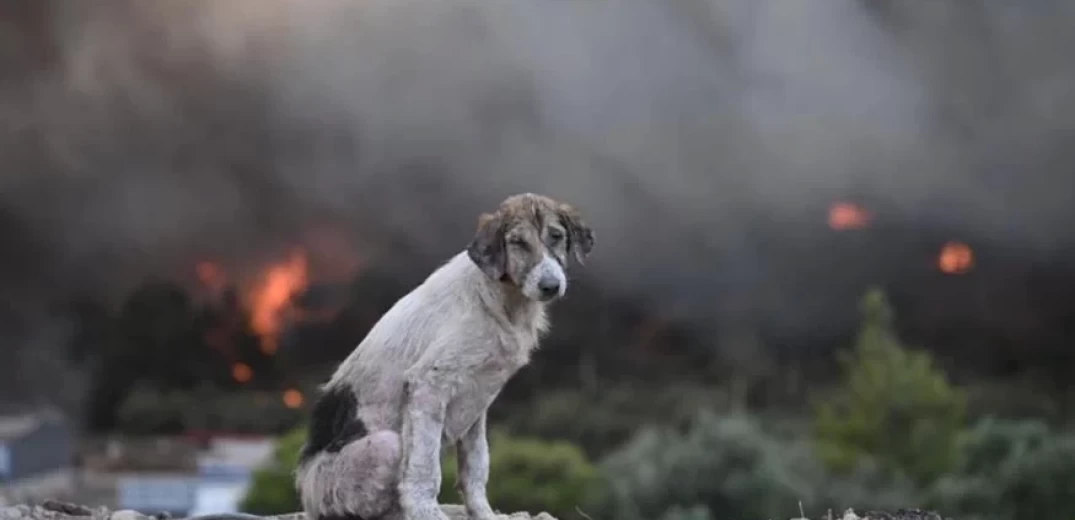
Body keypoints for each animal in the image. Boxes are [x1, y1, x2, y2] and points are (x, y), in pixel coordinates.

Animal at [296, 193, 597, 517]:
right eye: (518, 243)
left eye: (556, 236)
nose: (550, 286)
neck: (500, 300)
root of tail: (307, 493)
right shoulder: (428, 384)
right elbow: (424, 466)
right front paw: (425, 511)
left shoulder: (478, 399)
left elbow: (477, 466)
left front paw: (483, 513)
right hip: (385, 446)